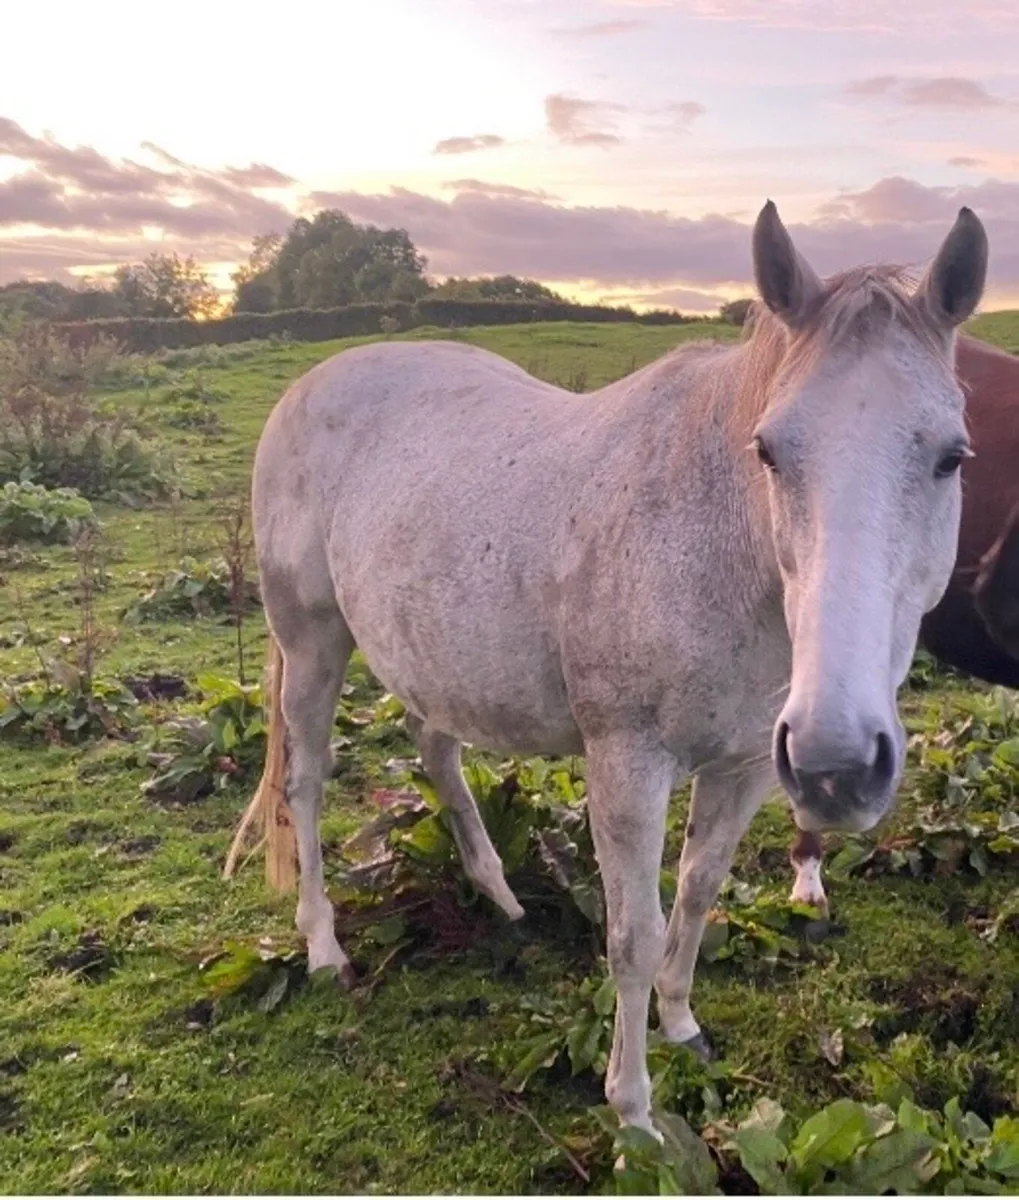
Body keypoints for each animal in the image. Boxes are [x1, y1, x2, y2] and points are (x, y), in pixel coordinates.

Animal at [226, 201, 987, 1135]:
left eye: (951, 456)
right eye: (769, 452)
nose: (837, 765)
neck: (716, 548)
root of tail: (313, 381)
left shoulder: (744, 766)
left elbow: (696, 893)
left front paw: (683, 1025)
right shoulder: (626, 764)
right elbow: (633, 933)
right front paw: (632, 1114)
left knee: (437, 755)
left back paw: (502, 900)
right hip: (312, 642)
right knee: (303, 782)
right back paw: (324, 946)